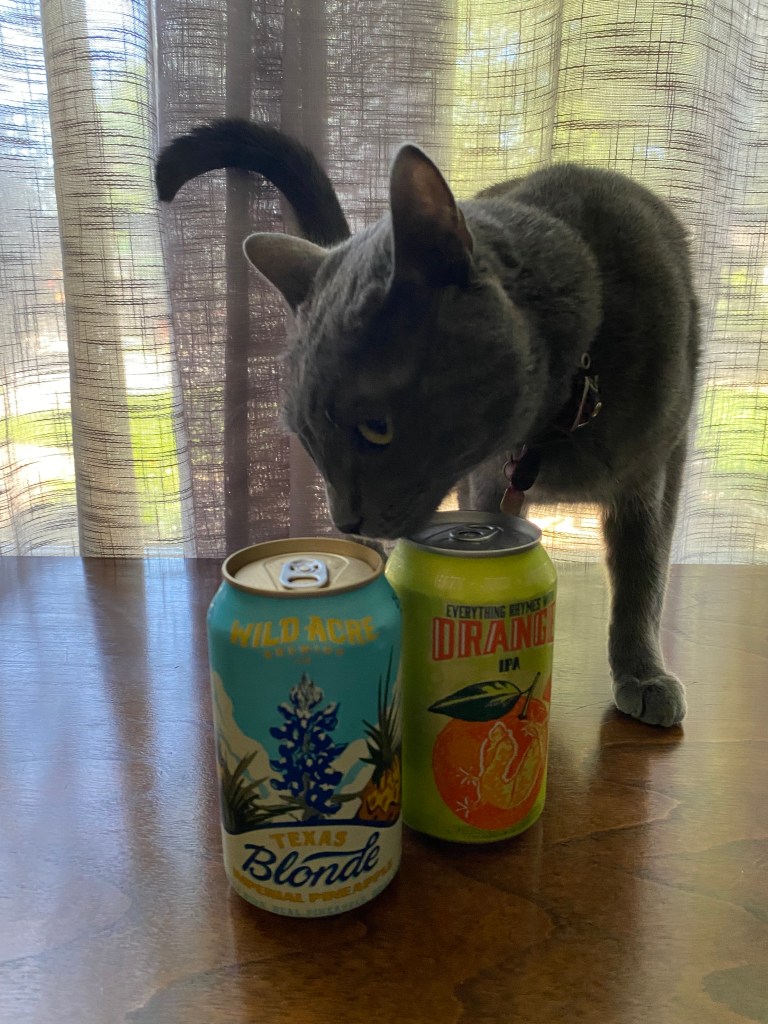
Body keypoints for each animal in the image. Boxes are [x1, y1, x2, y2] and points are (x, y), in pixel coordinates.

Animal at [156, 119, 699, 728]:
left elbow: (642, 575)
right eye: (307, 439)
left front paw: (643, 674)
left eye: (377, 429)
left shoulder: (652, 473)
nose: (345, 523)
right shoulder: (488, 482)